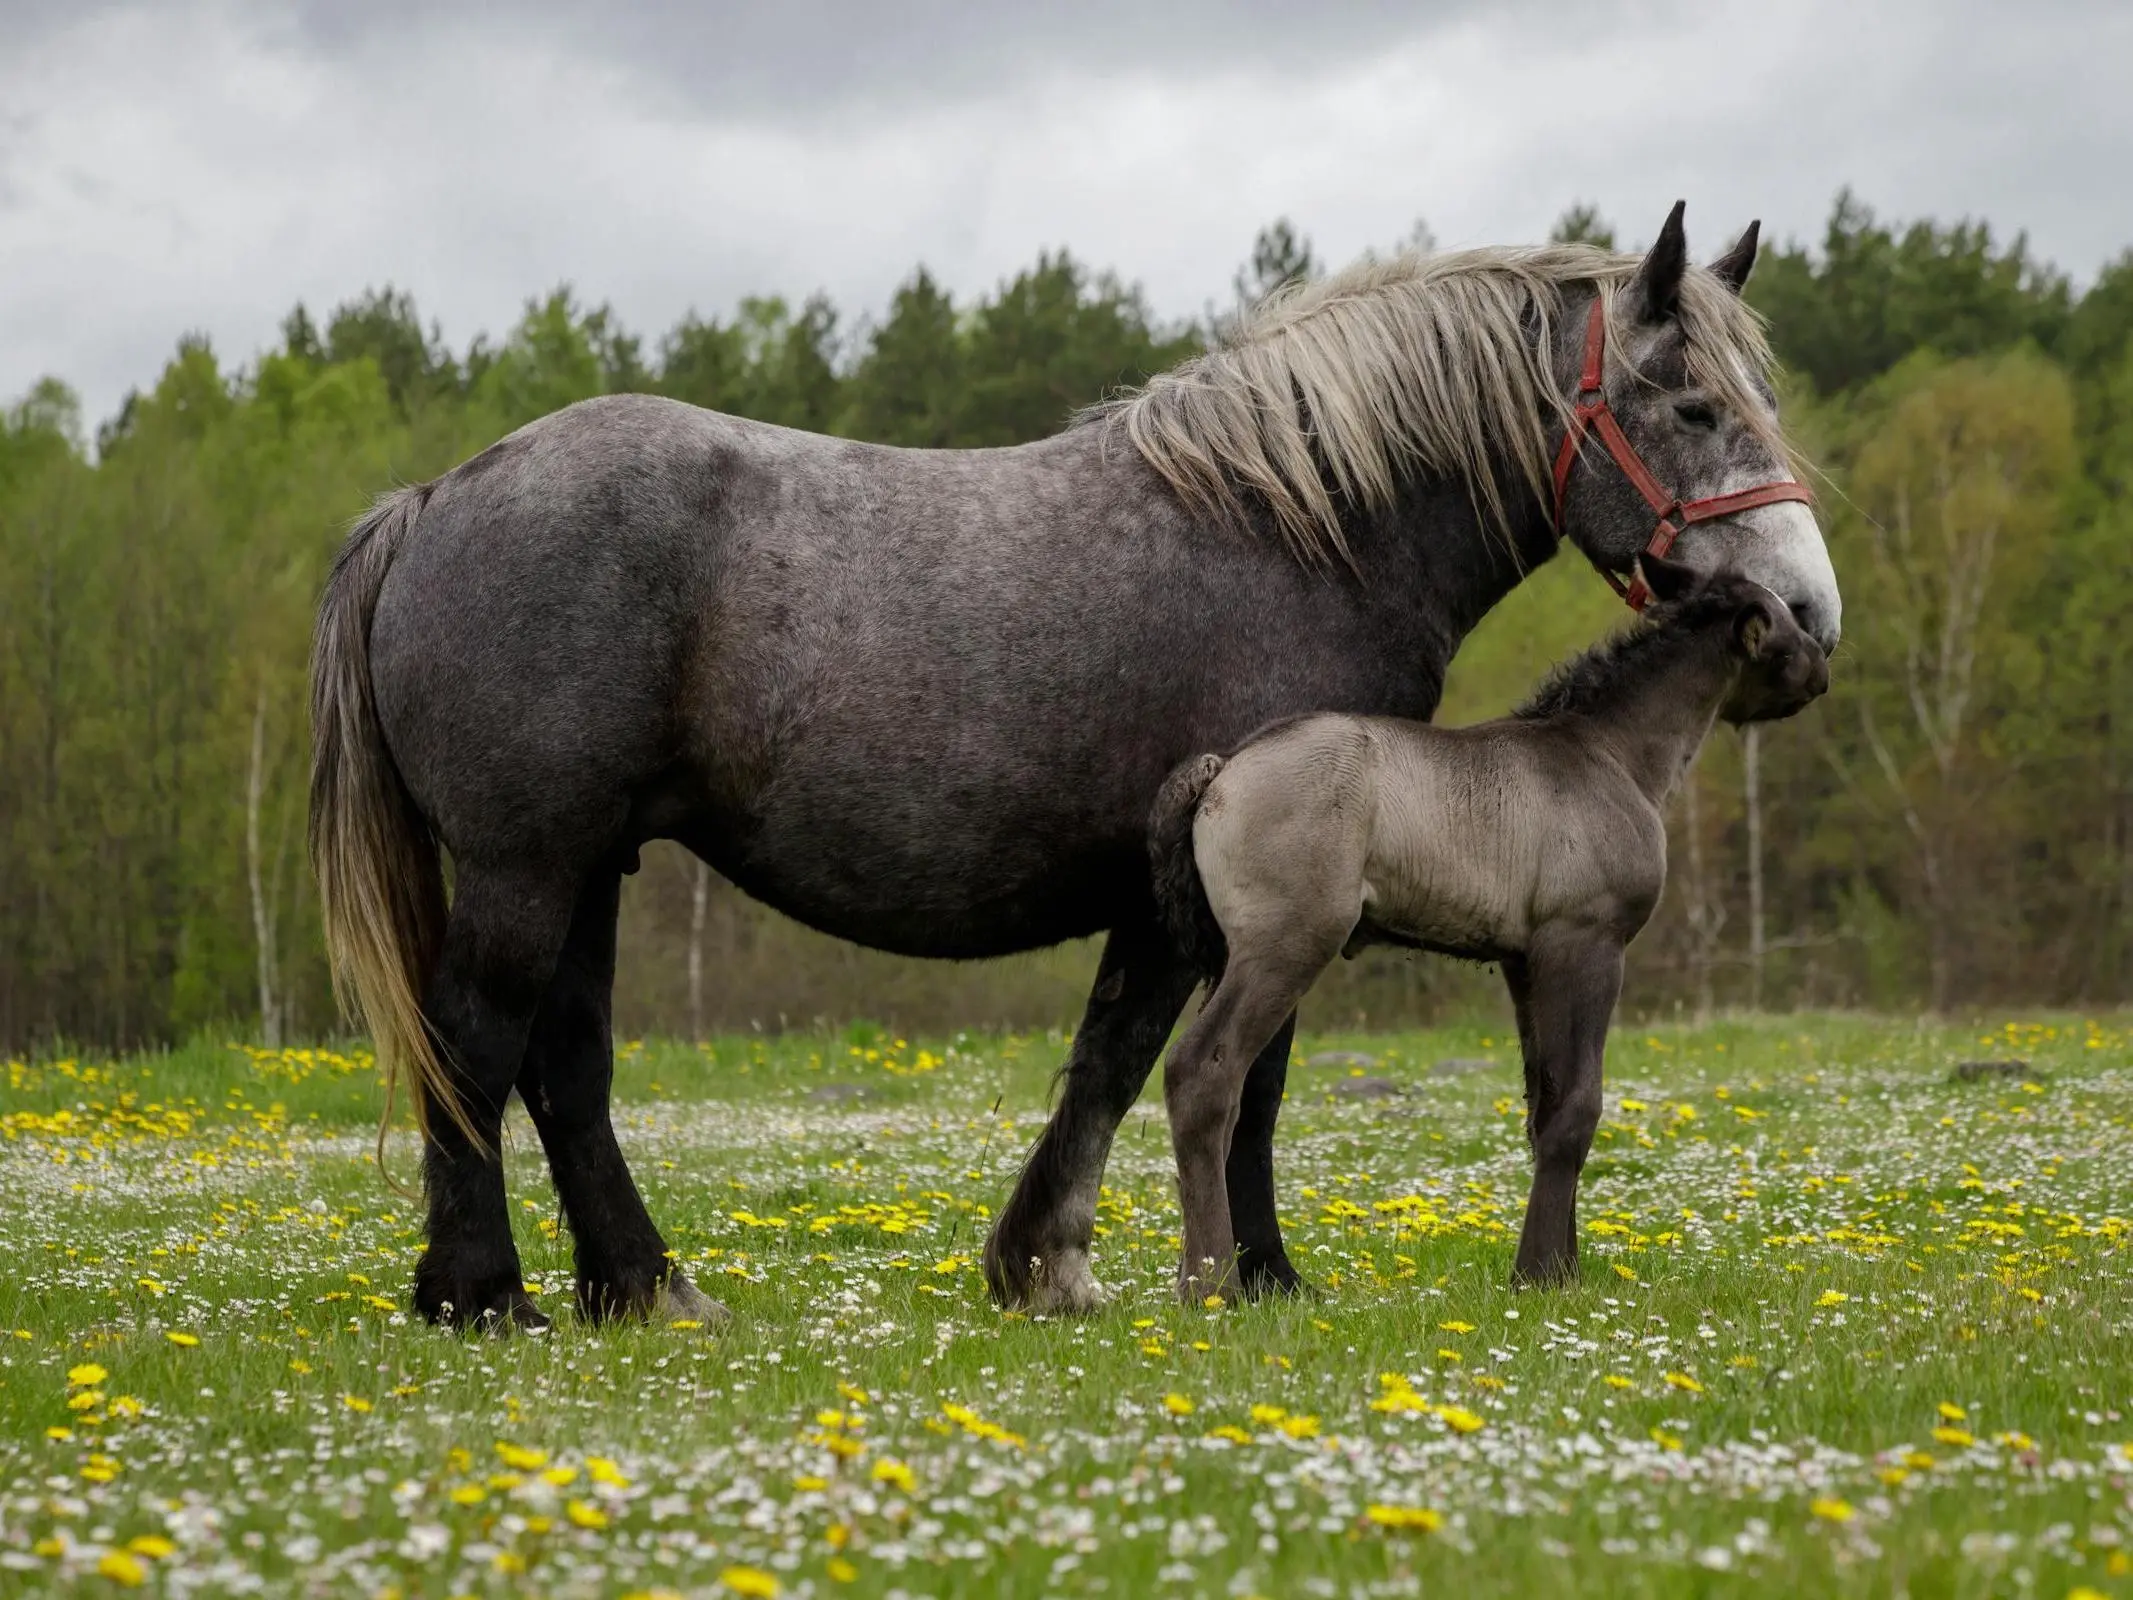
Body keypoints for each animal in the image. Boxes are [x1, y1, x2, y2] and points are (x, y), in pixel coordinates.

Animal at [1145, 558, 1830, 1302]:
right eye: (1785, 623)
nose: (1822, 667)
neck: (1610, 755)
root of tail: (1221, 771)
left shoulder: (1523, 961)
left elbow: (1544, 1103)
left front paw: (1563, 1267)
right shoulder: (1585, 942)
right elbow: (1577, 1107)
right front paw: (1538, 1272)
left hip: (1227, 955)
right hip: (1284, 947)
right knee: (1202, 1072)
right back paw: (1209, 1284)